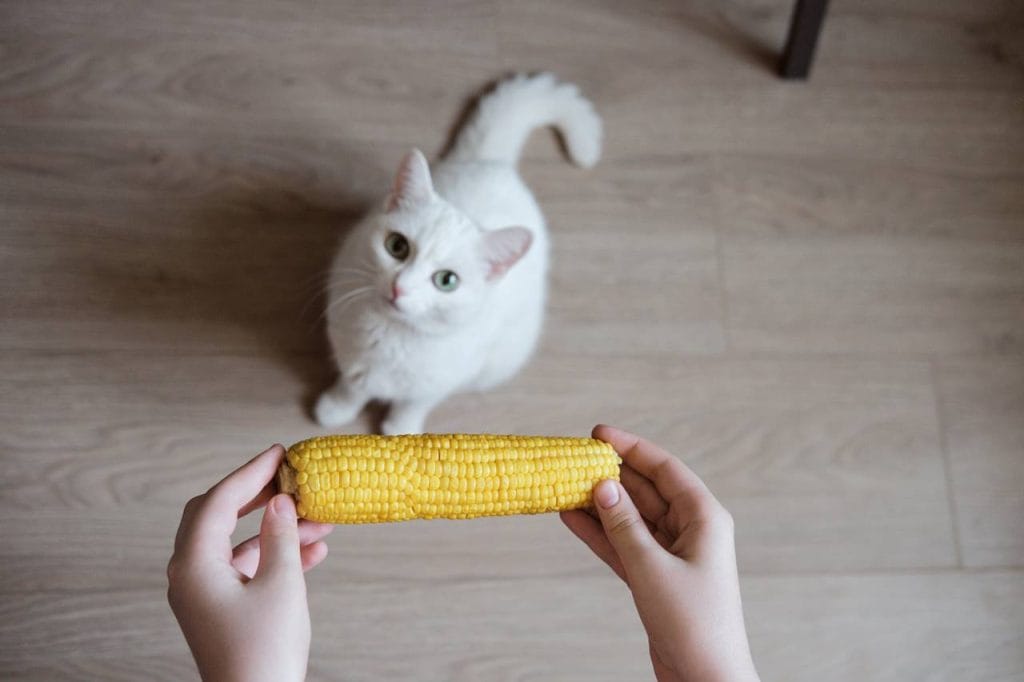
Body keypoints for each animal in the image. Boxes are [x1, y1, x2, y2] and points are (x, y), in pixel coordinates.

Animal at [317, 71, 598, 432]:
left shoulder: (444, 380)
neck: (393, 336)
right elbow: (352, 387)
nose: (400, 287)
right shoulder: (351, 356)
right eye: (397, 246)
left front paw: (400, 430)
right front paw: (335, 408)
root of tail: (492, 163)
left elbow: (414, 404)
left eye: (446, 280)